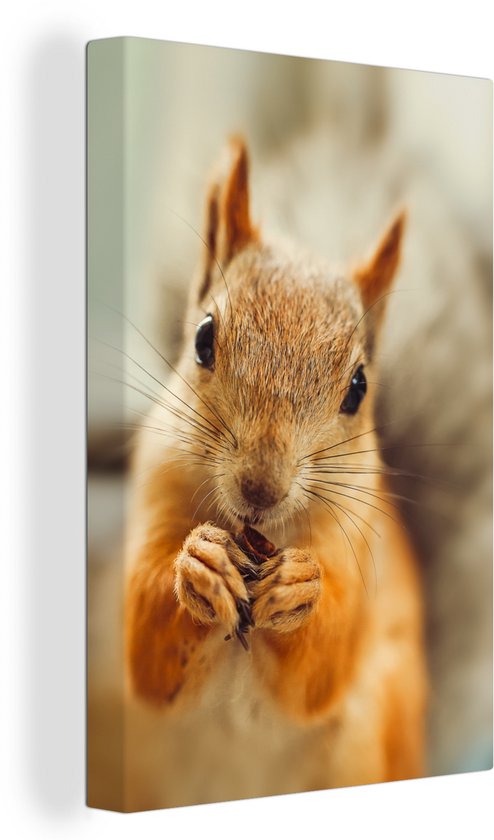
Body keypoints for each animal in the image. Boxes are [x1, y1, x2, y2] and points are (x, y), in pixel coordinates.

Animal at [124, 137, 427, 806]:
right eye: (203, 338)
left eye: (359, 387)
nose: (260, 488)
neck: (259, 533)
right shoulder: (156, 488)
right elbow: (147, 650)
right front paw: (200, 564)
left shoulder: (358, 545)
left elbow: (320, 670)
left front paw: (298, 585)